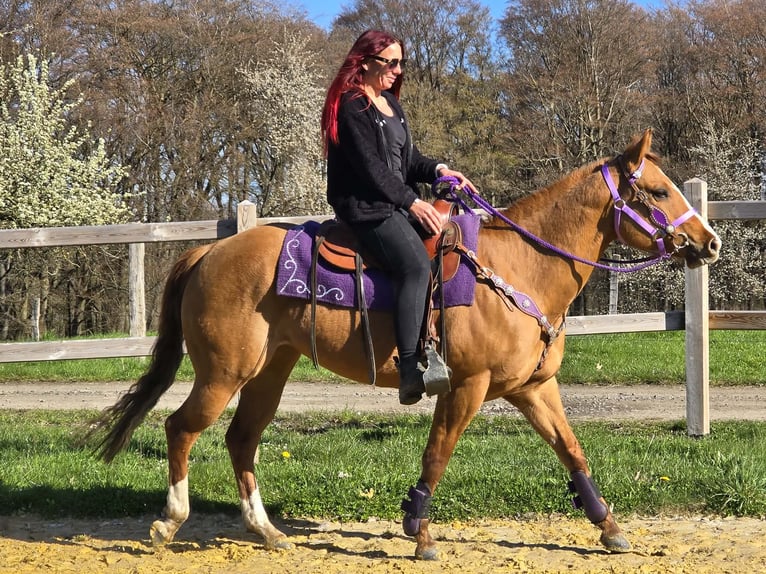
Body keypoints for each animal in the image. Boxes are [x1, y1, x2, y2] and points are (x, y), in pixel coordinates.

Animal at [90, 130, 721, 560]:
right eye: (657, 191)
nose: (709, 242)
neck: (520, 266)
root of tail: (209, 252)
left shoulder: (534, 388)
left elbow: (572, 450)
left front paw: (607, 525)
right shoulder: (465, 387)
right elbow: (437, 454)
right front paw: (419, 531)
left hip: (270, 371)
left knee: (242, 439)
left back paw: (265, 530)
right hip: (223, 372)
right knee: (182, 428)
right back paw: (170, 521)